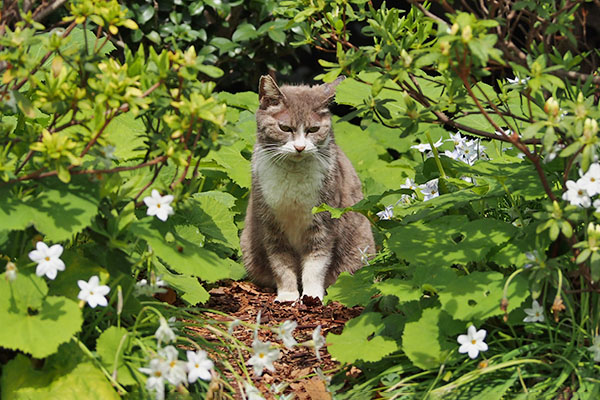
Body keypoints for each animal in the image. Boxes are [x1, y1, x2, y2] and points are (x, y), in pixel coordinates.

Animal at [240, 75, 376, 302]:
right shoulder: (271, 225)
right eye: (285, 128)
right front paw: (287, 296)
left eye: (313, 129)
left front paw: (312, 296)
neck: (293, 174)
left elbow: (315, 264)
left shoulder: (323, 222)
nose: (300, 147)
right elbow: (281, 264)